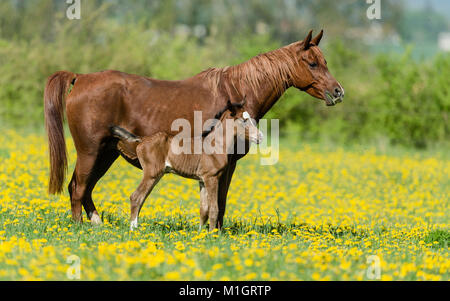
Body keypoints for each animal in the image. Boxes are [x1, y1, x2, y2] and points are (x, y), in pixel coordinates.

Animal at [110, 101, 262, 230]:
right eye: (243, 120)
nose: (260, 136)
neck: (216, 144)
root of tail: (142, 139)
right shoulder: (212, 178)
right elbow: (214, 208)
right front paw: (213, 235)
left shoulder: (202, 180)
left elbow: (203, 209)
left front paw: (201, 234)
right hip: (151, 174)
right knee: (136, 197)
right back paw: (134, 230)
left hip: (157, 175)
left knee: (141, 198)